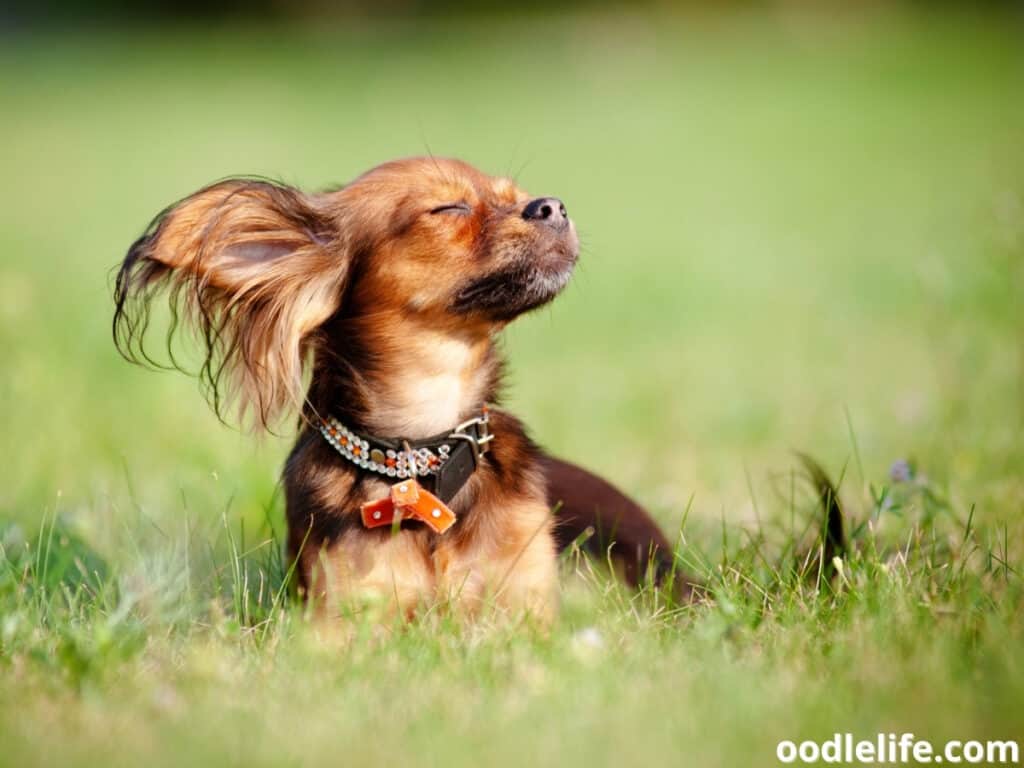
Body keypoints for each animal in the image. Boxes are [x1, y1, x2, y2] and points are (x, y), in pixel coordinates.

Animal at [116, 157, 700, 626]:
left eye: (515, 195)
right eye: (448, 208)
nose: (552, 206)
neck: (427, 449)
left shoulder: (525, 599)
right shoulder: (348, 610)